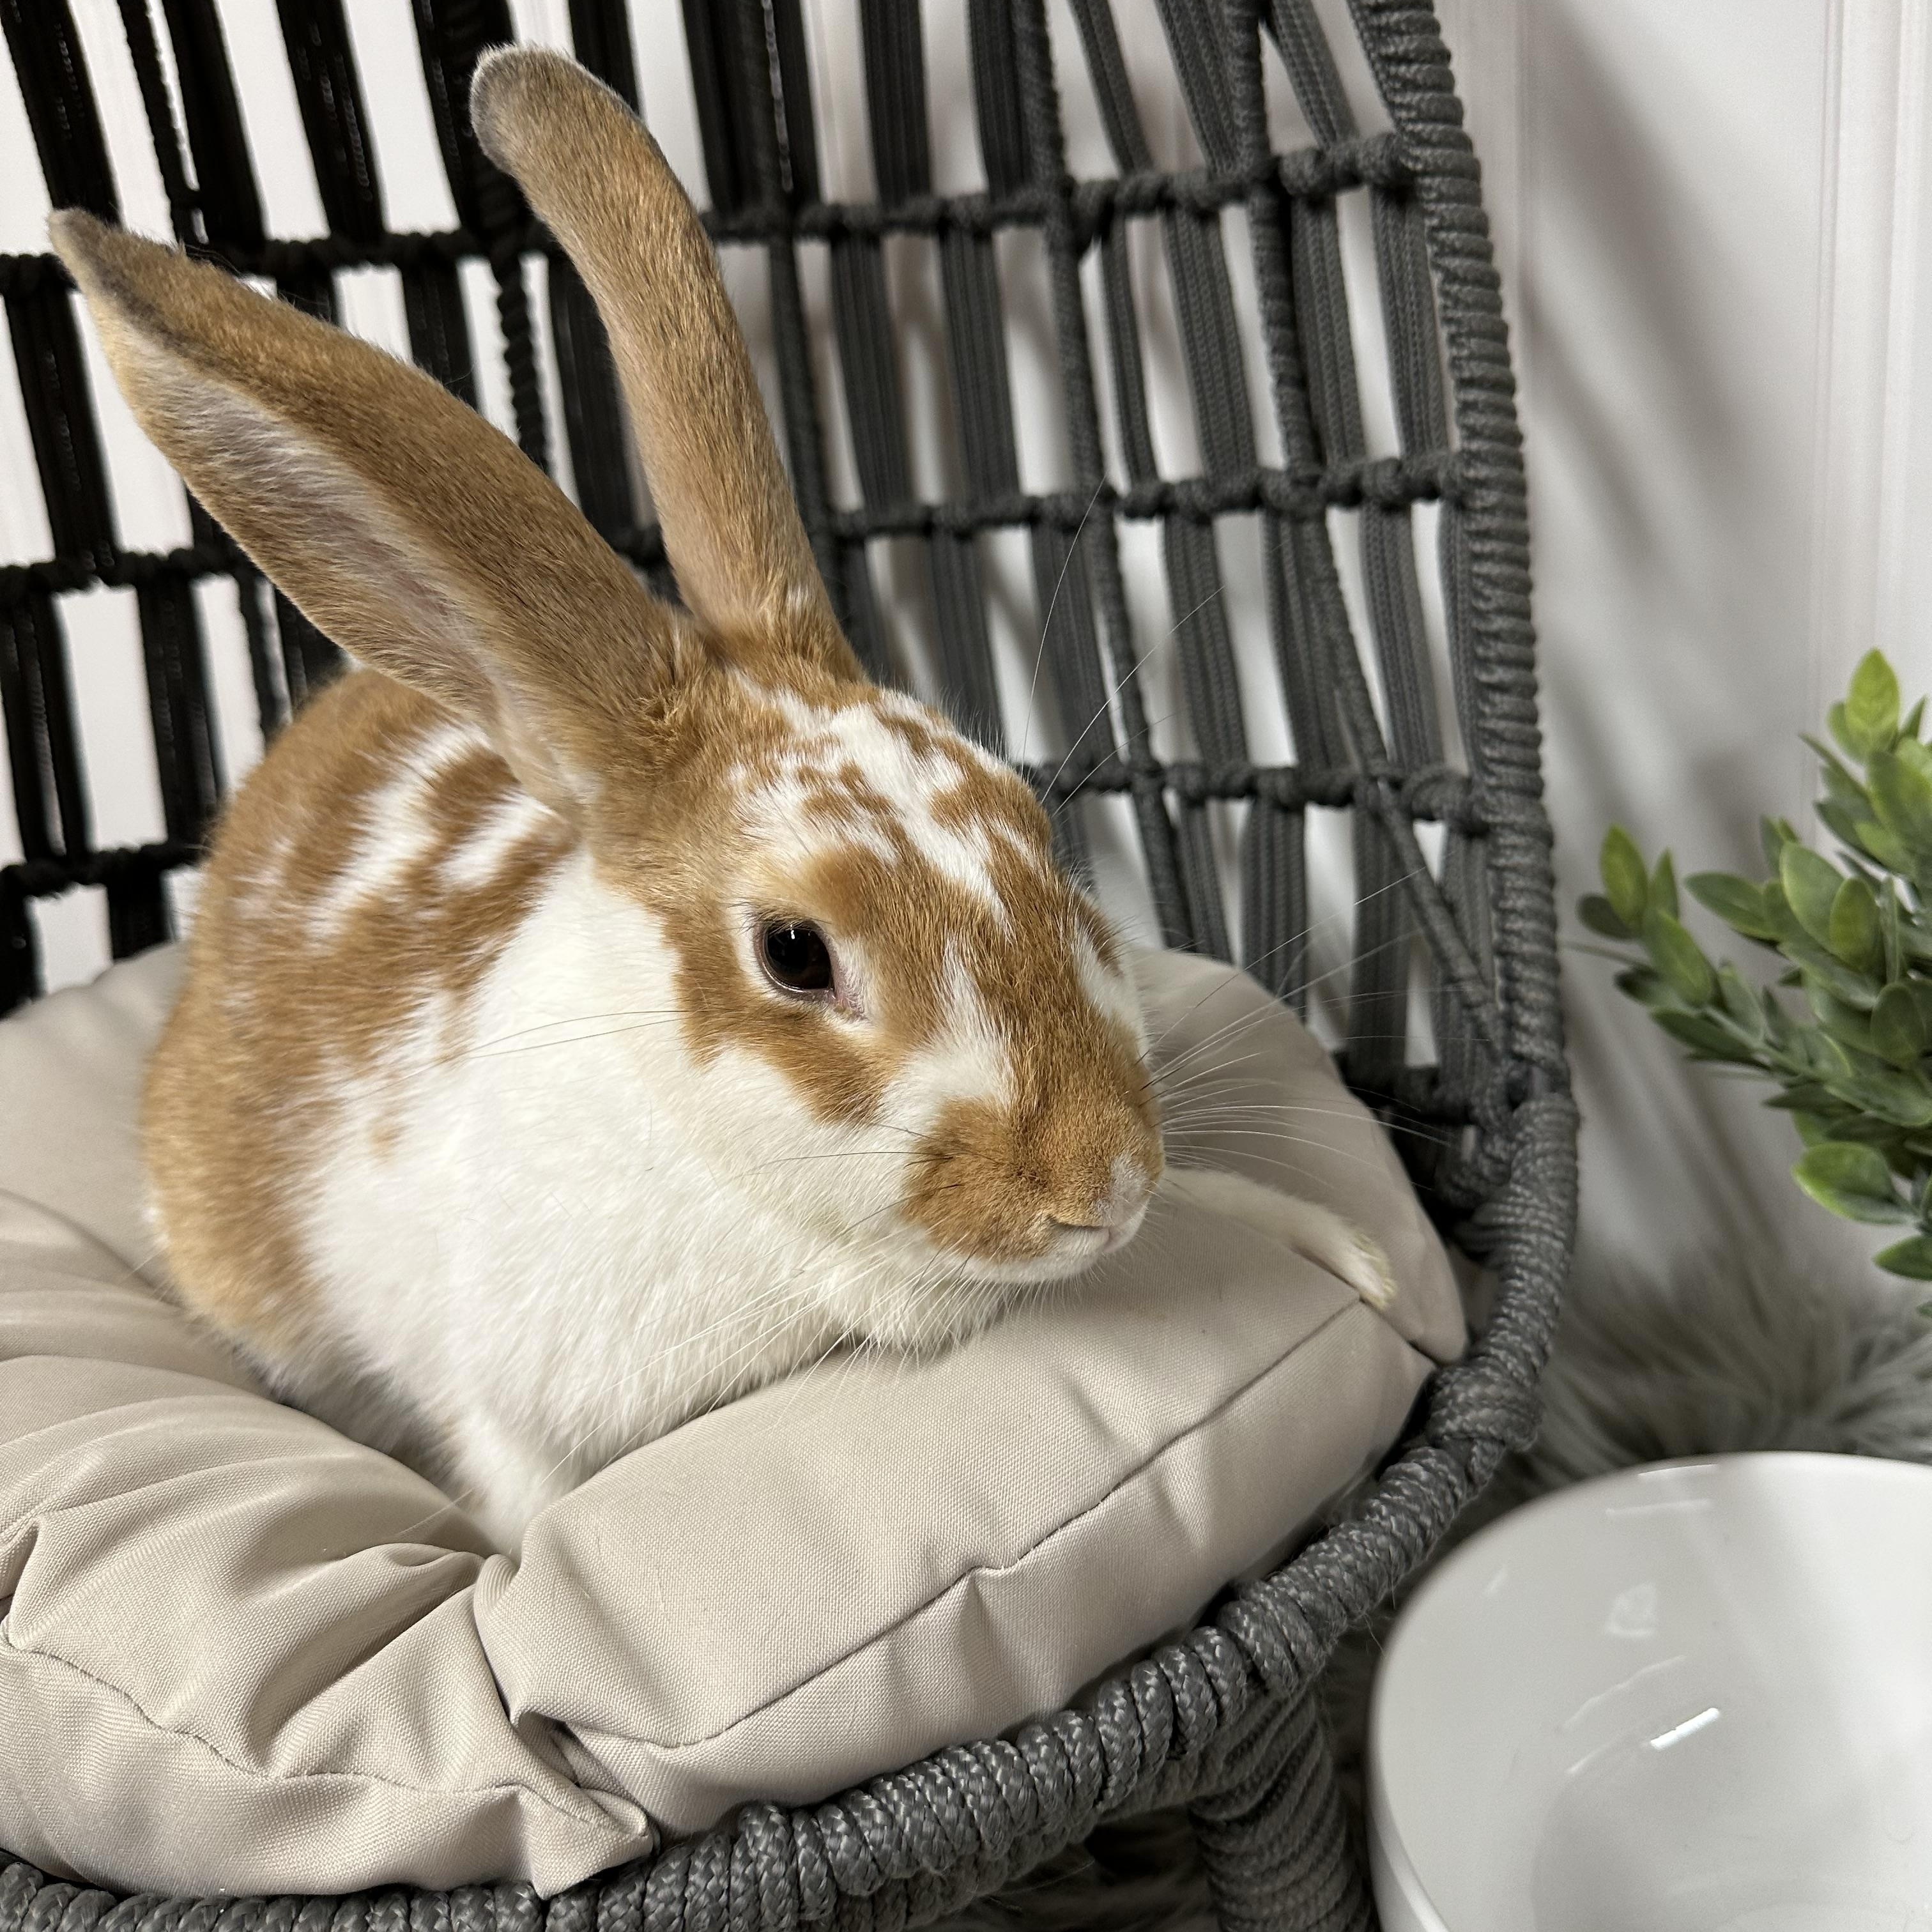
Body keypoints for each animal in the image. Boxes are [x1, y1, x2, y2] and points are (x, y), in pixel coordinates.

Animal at [51, 48, 1394, 1552]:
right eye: (795, 953)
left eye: (1044, 843)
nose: (1102, 1187)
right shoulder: (510, 1413)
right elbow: (525, 1501)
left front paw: (1358, 1258)